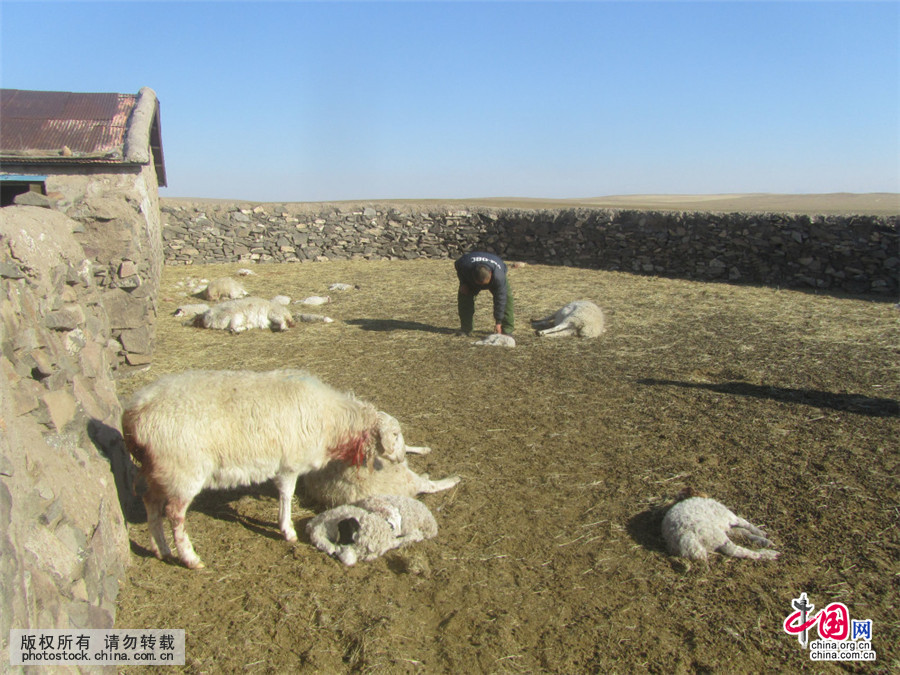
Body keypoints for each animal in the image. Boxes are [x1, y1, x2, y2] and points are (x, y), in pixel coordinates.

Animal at [121, 368, 424, 569]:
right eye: (395, 435)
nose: (401, 459)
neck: (334, 420)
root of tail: (134, 414)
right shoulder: (290, 462)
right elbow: (286, 495)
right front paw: (287, 530)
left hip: (159, 470)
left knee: (150, 503)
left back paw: (161, 549)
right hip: (182, 470)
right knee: (174, 514)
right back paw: (189, 557)